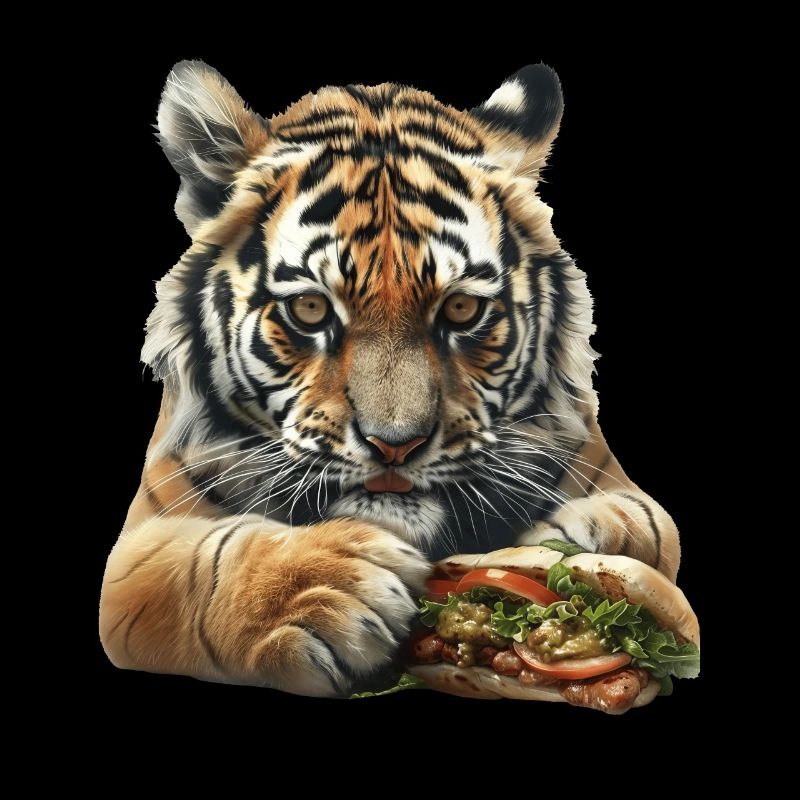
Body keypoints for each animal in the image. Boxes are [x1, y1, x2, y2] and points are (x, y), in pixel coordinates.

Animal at [99, 61, 681, 697]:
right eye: (310, 309)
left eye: (460, 310)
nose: (395, 446)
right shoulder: (135, 551)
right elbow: (205, 564)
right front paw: (327, 588)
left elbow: (652, 524)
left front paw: (579, 533)